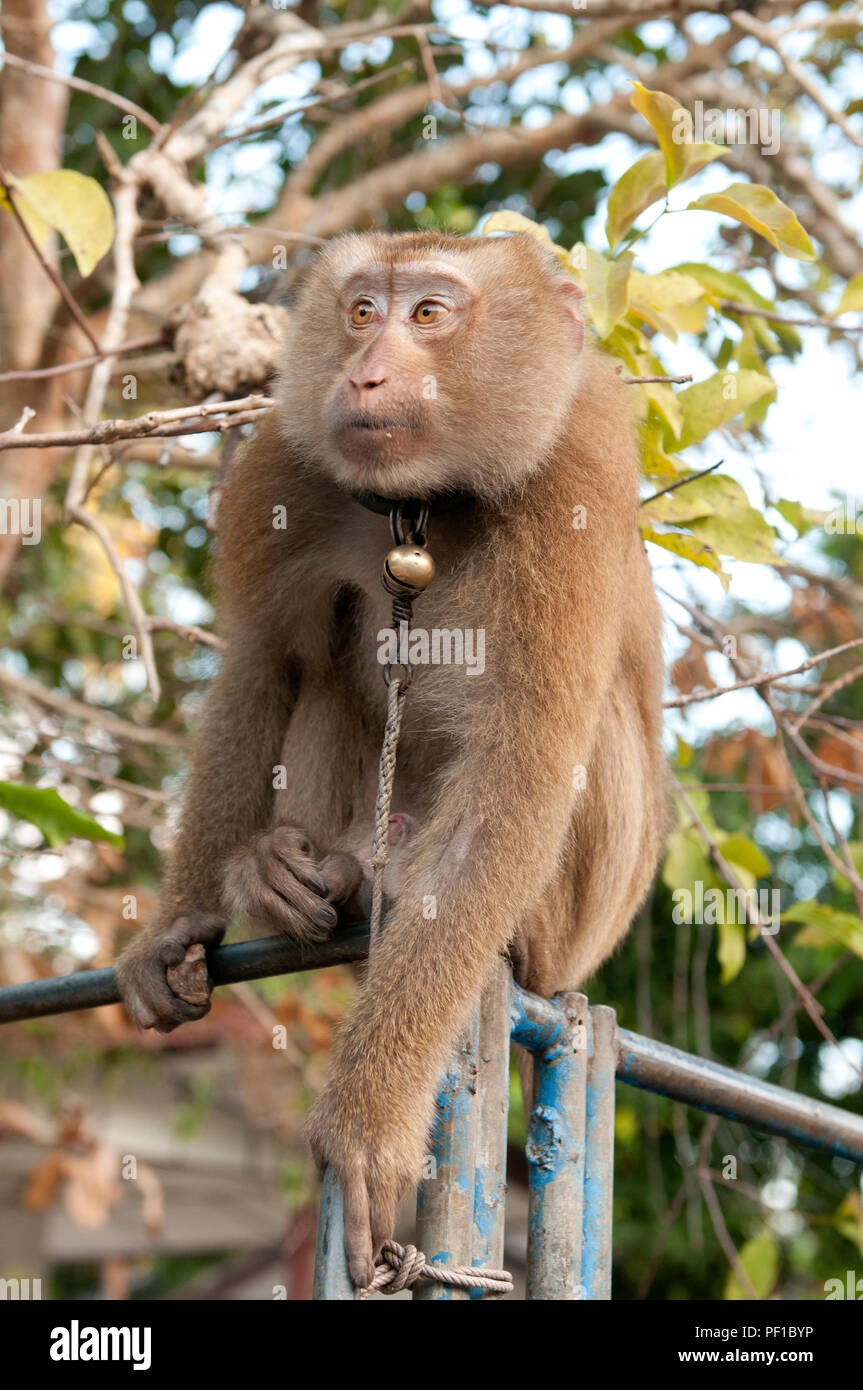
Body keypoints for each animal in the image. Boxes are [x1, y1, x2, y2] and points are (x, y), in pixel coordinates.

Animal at [114, 225, 667, 1278]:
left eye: (430, 313)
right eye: (363, 309)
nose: (366, 373)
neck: (421, 507)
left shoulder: (575, 471)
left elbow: (518, 772)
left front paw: (368, 1123)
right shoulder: (285, 464)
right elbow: (263, 666)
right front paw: (180, 925)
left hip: (579, 924)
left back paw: (394, 884)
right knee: (326, 662)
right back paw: (308, 870)